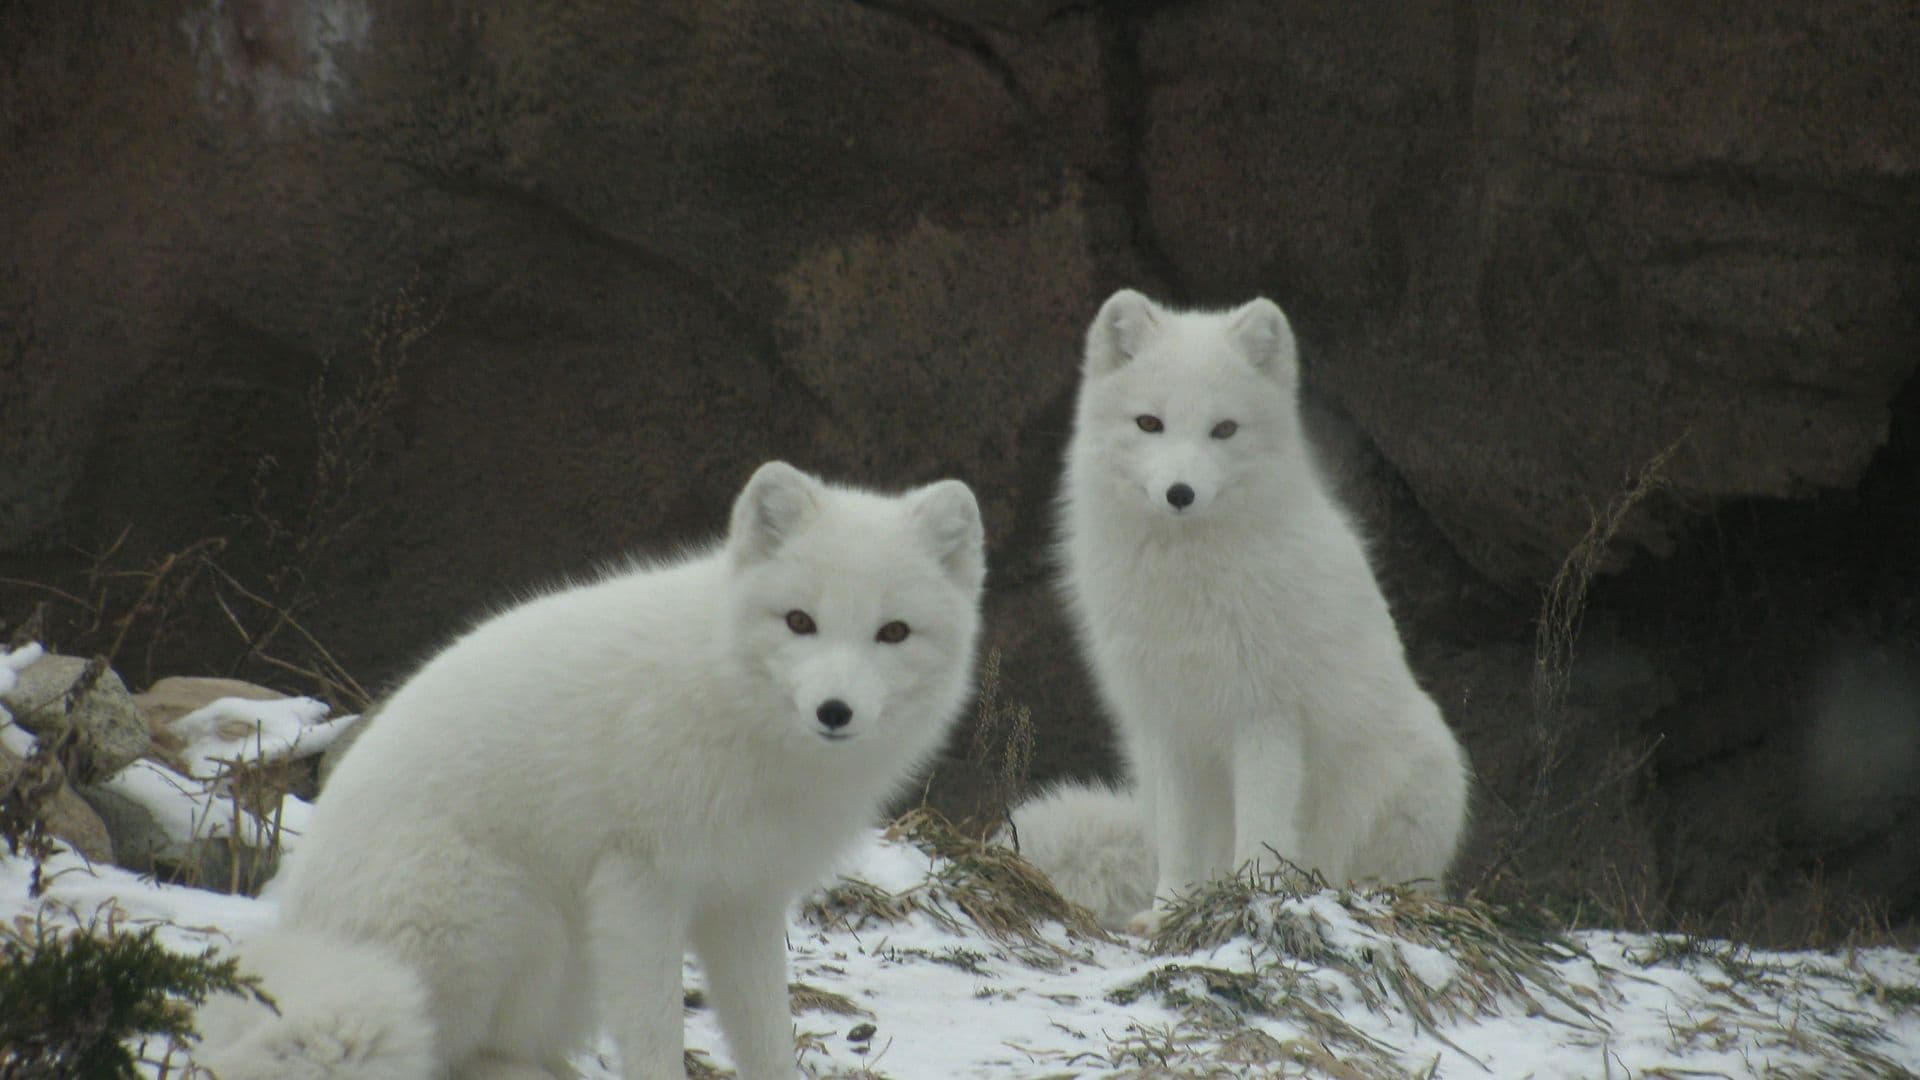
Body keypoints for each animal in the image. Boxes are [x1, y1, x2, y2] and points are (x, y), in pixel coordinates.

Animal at [196, 461, 990, 1076]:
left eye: (893, 632)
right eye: (800, 621)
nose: (834, 710)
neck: (729, 700)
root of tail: (302, 930)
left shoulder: (745, 897)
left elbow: (768, 1038)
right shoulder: (640, 880)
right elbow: (655, 1036)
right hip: (505, 916)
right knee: (455, 1056)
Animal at [1021, 290, 1466, 930]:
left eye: (1224, 429)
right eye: (1149, 423)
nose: (1180, 494)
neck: (1188, 585)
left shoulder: (1267, 715)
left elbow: (1260, 830)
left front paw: (1252, 899)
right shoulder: (1168, 723)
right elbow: (1179, 842)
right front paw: (1170, 910)